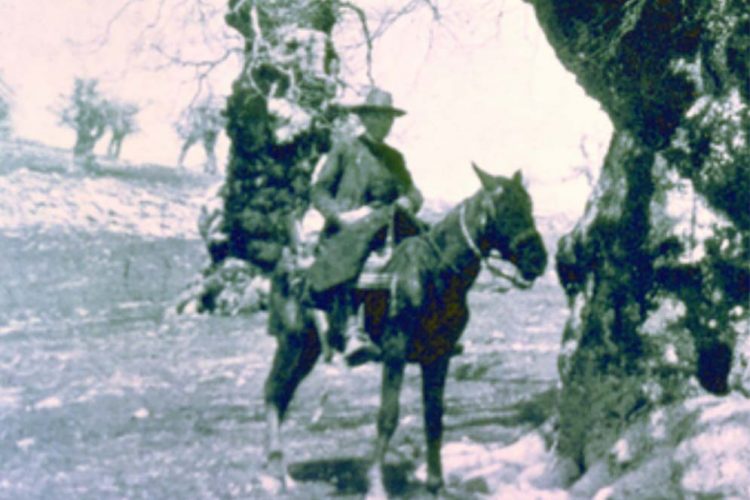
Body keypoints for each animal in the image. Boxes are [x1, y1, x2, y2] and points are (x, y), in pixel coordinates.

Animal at [262, 165, 548, 496]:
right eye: (505, 209)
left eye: (529, 206)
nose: (539, 260)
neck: (435, 272)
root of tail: (290, 260)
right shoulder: (394, 351)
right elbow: (388, 416)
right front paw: (376, 486)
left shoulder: (438, 357)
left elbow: (434, 417)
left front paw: (436, 485)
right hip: (292, 341)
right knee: (273, 391)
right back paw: (274, 473)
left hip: (308, 349)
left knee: (282, 394)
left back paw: (278, 470)